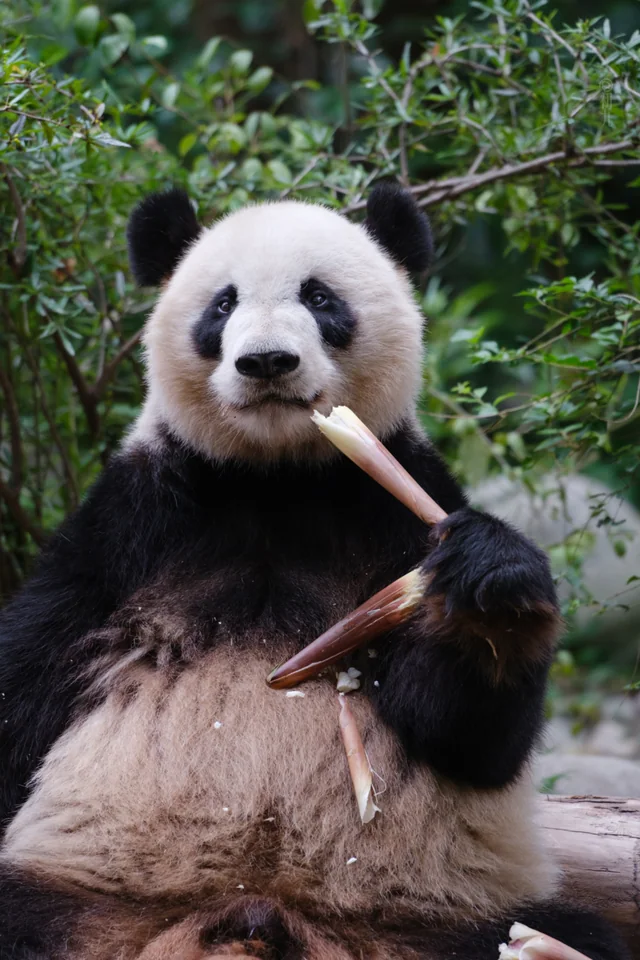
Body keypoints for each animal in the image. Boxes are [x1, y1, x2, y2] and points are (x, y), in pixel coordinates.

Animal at [0, 182, 629, 960]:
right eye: (222, 305)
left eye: (321, 298)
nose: (267, 362)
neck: (279, 479)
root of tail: (253, 917)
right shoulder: (132, 525)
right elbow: (28, 679)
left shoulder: (392, 509)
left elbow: (467, 734)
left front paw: (490, 580)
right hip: (85, 899)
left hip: (437, 921)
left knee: (569, 929)